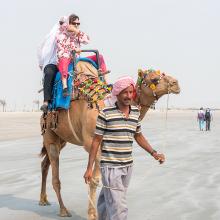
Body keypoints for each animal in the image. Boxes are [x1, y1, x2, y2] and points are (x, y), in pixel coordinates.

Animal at [38, 67, 180, 220]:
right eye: (154, 79)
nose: (176, 83)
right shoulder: (91, 141)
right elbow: (94, 179)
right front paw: (92, 214)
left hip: (62, 138)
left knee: (45, 163)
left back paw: (43, 200)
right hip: (49, 132)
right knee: (54, 168)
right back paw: (63, 210)